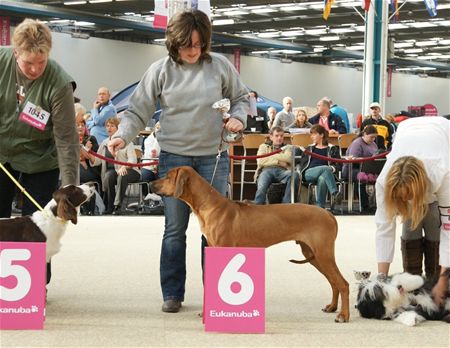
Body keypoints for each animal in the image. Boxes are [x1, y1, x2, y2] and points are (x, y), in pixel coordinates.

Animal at [151, 167, 352, 324]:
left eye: (168, 176)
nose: (151, 184)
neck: (209, 205)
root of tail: (329, 214)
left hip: (323, 254)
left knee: (342, 283)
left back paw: (343, 315)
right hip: (313, 254)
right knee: (333, 282)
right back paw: (332, 307)